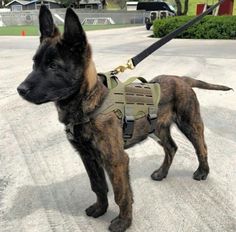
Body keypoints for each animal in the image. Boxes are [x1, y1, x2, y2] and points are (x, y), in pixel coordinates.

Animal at [17, 5, 231, 232]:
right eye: (34, 63)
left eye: (53, 66)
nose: (20, 90)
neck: (90, 103)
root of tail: (181, 79)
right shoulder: (88, 157)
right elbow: (98, 186)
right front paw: (101, 208)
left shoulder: (116, 160)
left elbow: (121, 193)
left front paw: (124, 221)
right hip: (158, 129)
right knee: (171, 148)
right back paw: (162, 173)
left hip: (190, 124)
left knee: (202, 147)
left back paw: (202, 172)